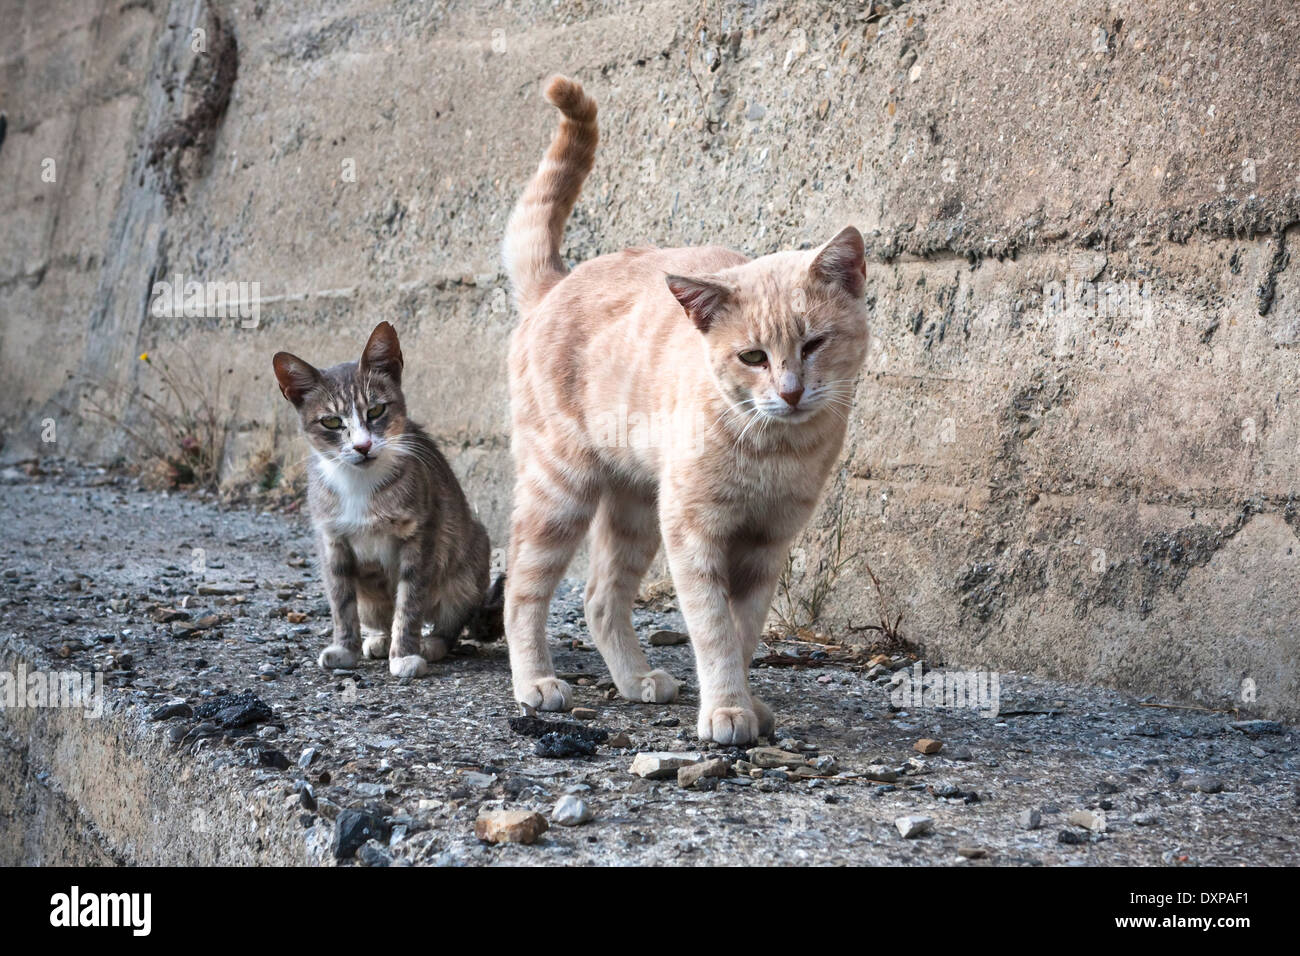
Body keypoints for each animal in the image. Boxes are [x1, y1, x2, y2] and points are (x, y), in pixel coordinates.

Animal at [271, 325, 488, 676]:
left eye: (375, 410)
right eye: (331, 422)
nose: (362, 446)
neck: (359, 484)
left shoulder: (422, 535)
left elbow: (409, 601)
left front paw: (404, 655)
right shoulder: (332, 542)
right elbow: (341, 601)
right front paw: (345, 649)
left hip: (467, 566)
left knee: (450, 618)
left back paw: (432, 643)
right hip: (371, 598)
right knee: (375, 611)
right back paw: (377, 639)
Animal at [501, 76, 868, 749]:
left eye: (813, 344)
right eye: (752, 356)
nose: (791, 391)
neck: (773, 450)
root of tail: (558, 281)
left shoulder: (767, 542)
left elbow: (744, 632)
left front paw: (746, 703)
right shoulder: (694, 531)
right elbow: (714, 630)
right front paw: (725, 710)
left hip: (635, 507)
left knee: (600, 598)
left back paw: (635, 680)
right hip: (562, 491)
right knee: (523, 588)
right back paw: (534, 682)